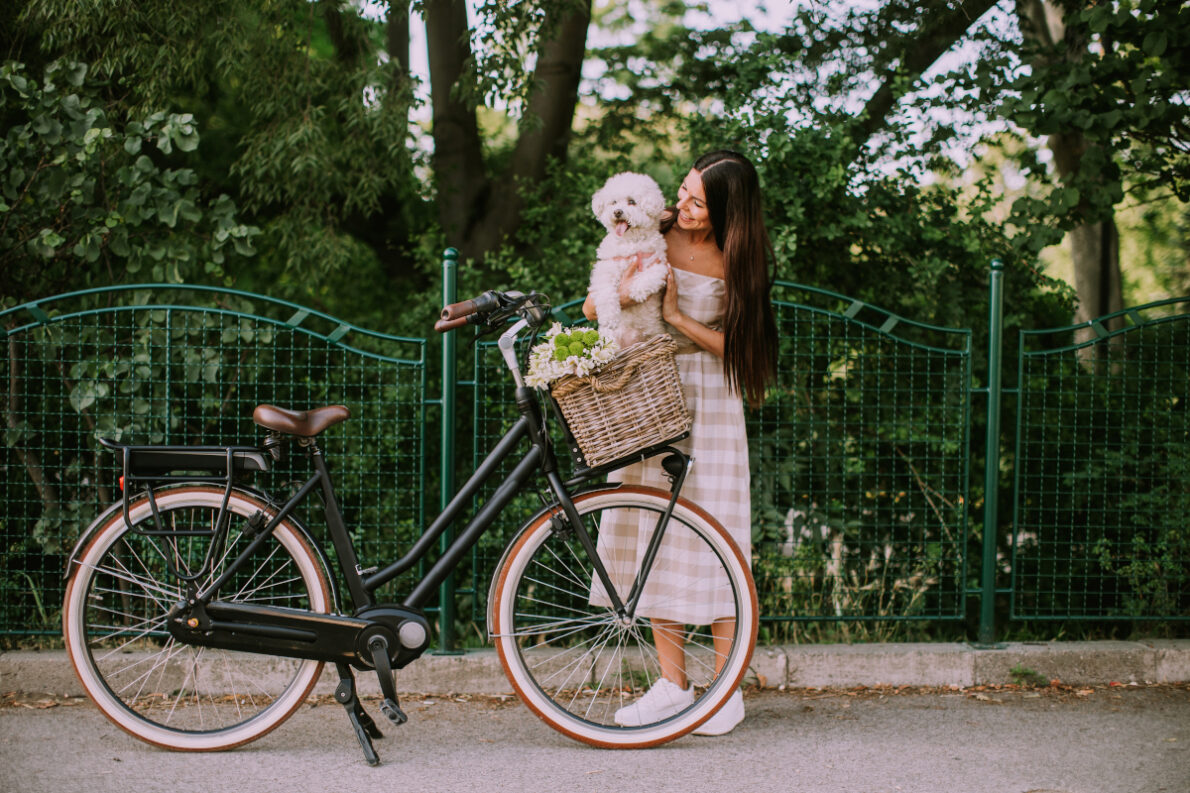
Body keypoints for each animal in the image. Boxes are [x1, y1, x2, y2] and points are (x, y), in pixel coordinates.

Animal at [585, 170, 671, 345]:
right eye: (613, 202)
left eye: (632, 201)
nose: (617, 211)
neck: (630, 242)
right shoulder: (605, 269)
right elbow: (605, 292)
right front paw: (609, 317)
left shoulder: (660, 264)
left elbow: (650, 277)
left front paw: (636, 291)